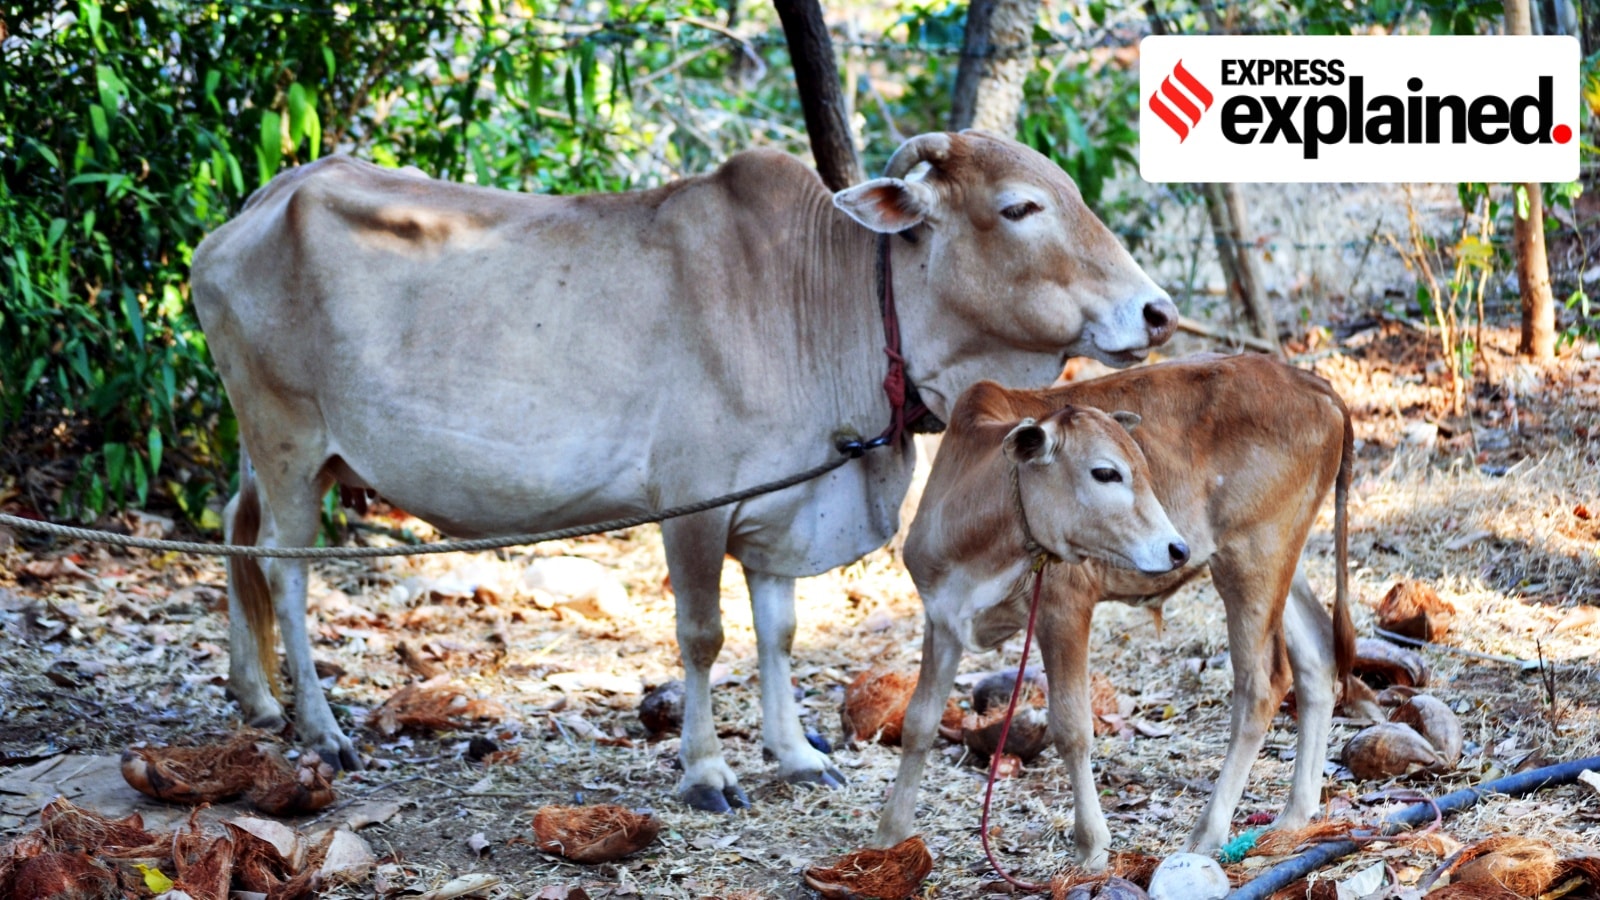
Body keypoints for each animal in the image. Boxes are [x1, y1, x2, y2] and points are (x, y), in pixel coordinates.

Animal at [189, 130, 1179, 813]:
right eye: (1019, 209)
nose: (1158, 311)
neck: (833, 304)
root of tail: (263, 200)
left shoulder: (784, 513)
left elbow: (777, 635)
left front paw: (797, 755)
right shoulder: (695, 508)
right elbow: (705, 638)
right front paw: (706, 772)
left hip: (276, 449)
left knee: (236, 535)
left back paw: (257, 700)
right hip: (288, 437)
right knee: (282, 566)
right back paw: (321, 730)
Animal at [875, 353, 1354, 869]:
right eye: (1105, 473)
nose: (1178, 548)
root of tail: (1312, 383)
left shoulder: (1064, 608)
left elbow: (1071, 728)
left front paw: (1091, 845)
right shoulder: (941, 617)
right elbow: (919, 721)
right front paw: (890, 834)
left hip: (1251, 557)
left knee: (1261, 686)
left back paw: (1208, 832)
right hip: (1284, 558)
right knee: (1316, 658)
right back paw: (1295, 815)